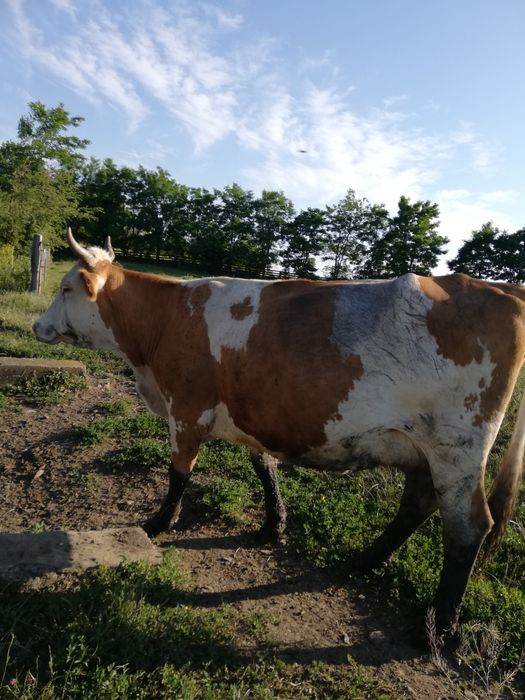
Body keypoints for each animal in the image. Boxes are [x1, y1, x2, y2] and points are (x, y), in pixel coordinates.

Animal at [34, 229, 525, 638]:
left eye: (65, 288)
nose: (38, 326)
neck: (163, 323)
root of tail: (502, 288)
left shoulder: (187, 411)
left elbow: (179, 474)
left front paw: (158, 523)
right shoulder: (257, 415)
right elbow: (264, 466)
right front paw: (273, 524)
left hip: (457, 449)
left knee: (468, 527)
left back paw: (439, 626)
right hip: (423, 448)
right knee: (418, 503)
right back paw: (365, 560)